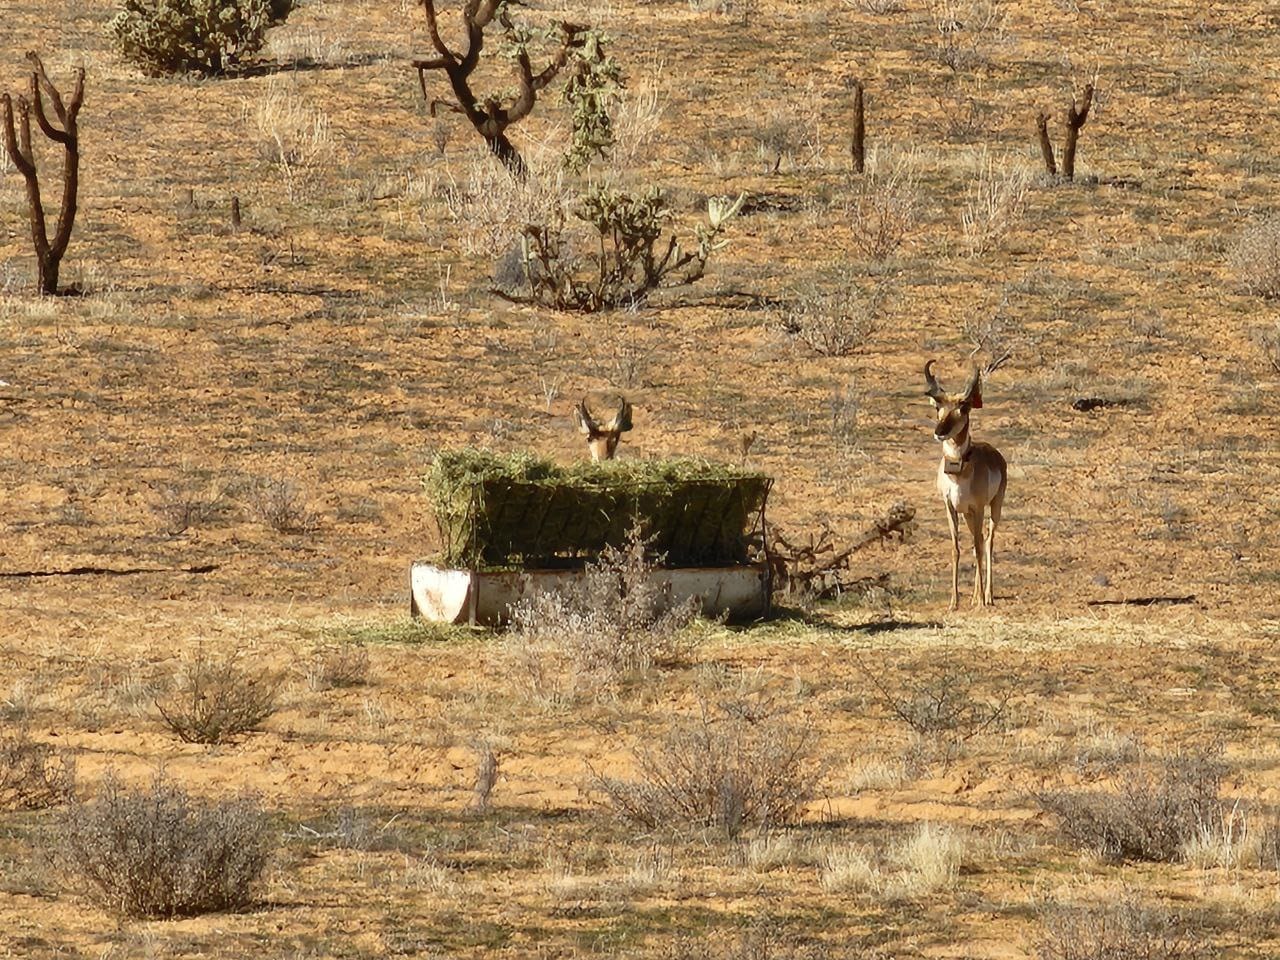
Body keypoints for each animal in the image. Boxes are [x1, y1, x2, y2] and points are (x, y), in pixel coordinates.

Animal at [926, 360, 1003, 609]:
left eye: (965, 408)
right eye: (938, 408)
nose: (939, 432)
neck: (958, 474)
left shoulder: (978, 508)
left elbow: (979, 549)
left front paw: (979, 600)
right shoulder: (951, 507)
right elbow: (956, 549)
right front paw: (954, 601)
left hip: (993, 508)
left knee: (987, 542)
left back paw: (986, 596)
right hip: (968, 516)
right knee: (976, 542)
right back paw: (977, 595)